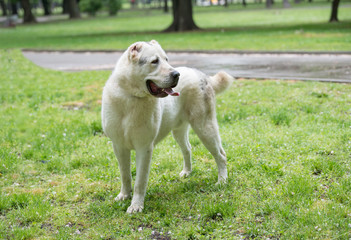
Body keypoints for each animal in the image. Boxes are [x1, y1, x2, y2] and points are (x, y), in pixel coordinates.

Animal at [101, 41, 234, 214]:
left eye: (166, 59)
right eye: (154, 61)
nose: (176, 74)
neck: (131, 96)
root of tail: (203, 76)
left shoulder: (144, 148)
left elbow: (140, 181)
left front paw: (136, 205)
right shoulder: (119, 146)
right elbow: (125, 175)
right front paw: (124, 195)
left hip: (205, 128)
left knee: (221, 155)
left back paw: (222, 181)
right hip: (179, 131)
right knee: (188, 149)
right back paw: (187, 172)